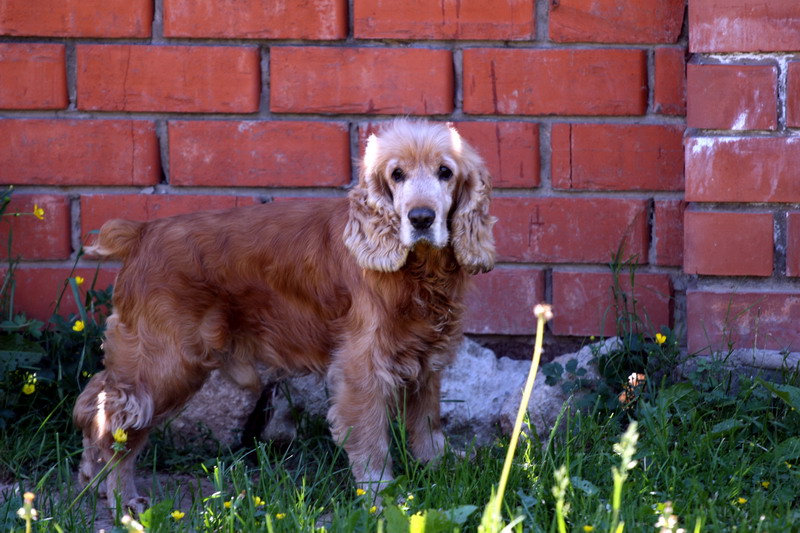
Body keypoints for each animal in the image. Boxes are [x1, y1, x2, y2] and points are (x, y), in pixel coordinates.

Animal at [76, 117, 500, 512]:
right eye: (397, 174)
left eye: (445, 172)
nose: (422, 218)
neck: (420, 272)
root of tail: (142, 233)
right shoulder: (362, 368)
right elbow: (372, 441)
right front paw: (383, 499)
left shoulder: (426, 358)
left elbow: (428, 426)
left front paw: (440, 471)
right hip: (167, 361)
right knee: (116, 417)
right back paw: (121, 497)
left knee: (96, 397)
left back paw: (93, 478)